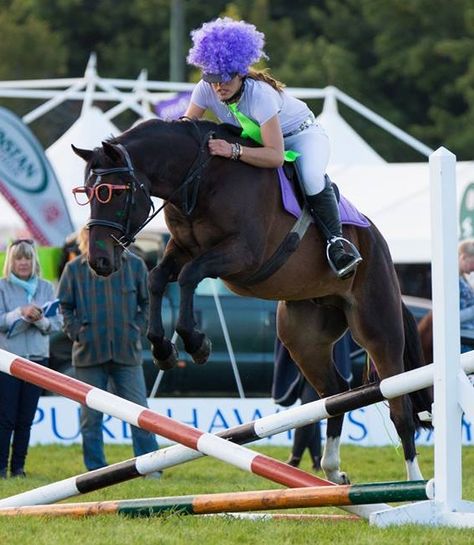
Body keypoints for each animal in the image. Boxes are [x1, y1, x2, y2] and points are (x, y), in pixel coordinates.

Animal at [72, 119, 432, 484]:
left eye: (115, 192)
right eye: (87, 193)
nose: (100, 261)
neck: (200, 179)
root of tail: (378, 242)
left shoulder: (241, 254)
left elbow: (189, 275)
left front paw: (196, 342)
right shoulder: (182, 249)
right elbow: (157, 278)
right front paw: (163, 349)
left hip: (377, 328)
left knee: (399, 406)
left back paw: (415, 481)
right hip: (304, 339)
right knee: (335, 391)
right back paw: (333, 470)